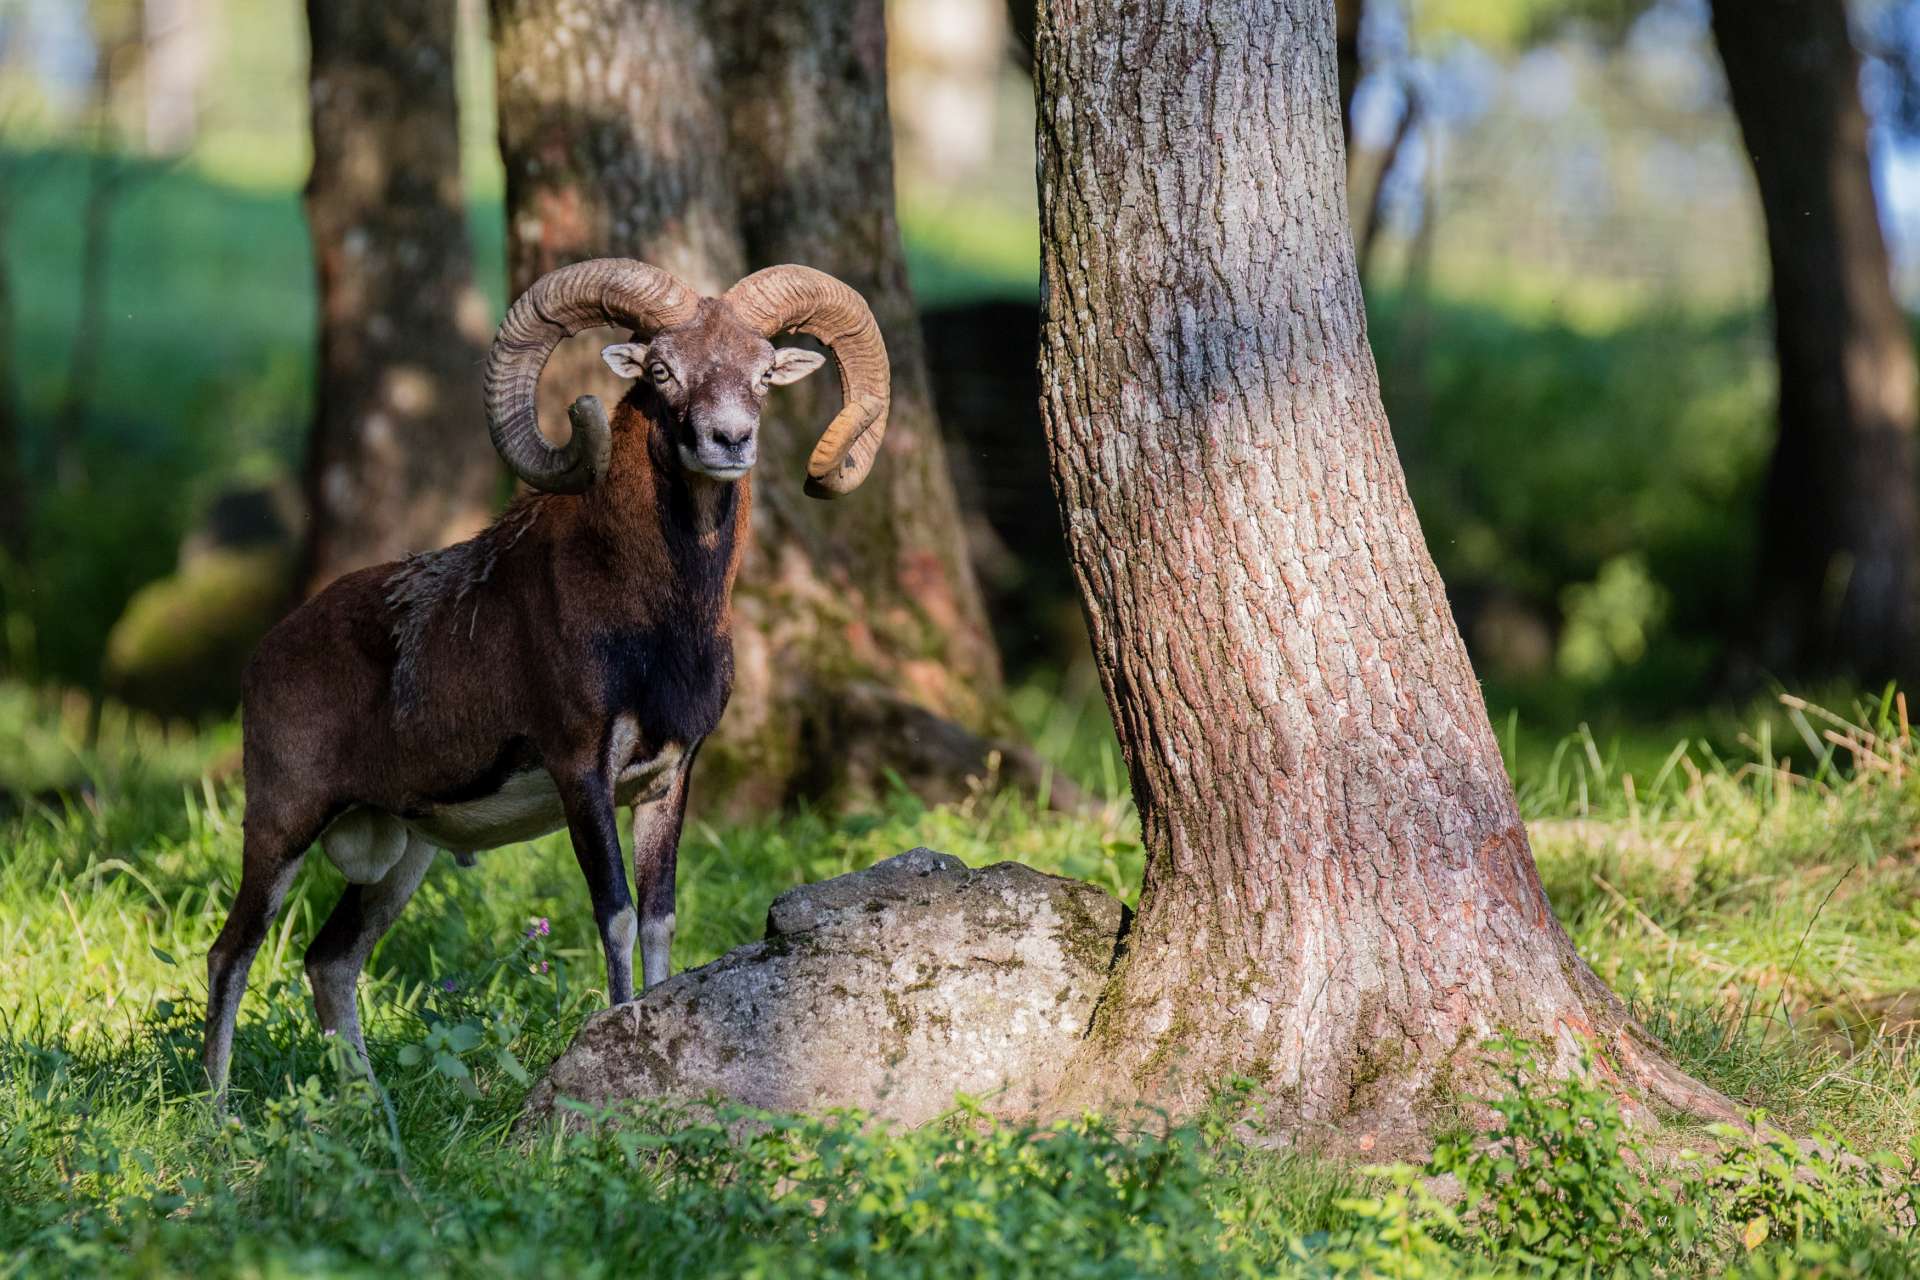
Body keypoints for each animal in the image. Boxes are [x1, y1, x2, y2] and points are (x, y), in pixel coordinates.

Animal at [202, 259, 890, 1103]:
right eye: (662, 370)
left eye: (763, 371)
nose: (731, 439)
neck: (657, 622)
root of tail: (267, 655)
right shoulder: (579, 770)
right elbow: (615, 913)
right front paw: (622, 1038)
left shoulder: (666, 781)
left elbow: (659, 917)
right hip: (282, 829)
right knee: (230, 955)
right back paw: (220, 1111)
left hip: (400, 859)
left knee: (329, 962)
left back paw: (369, 1110)